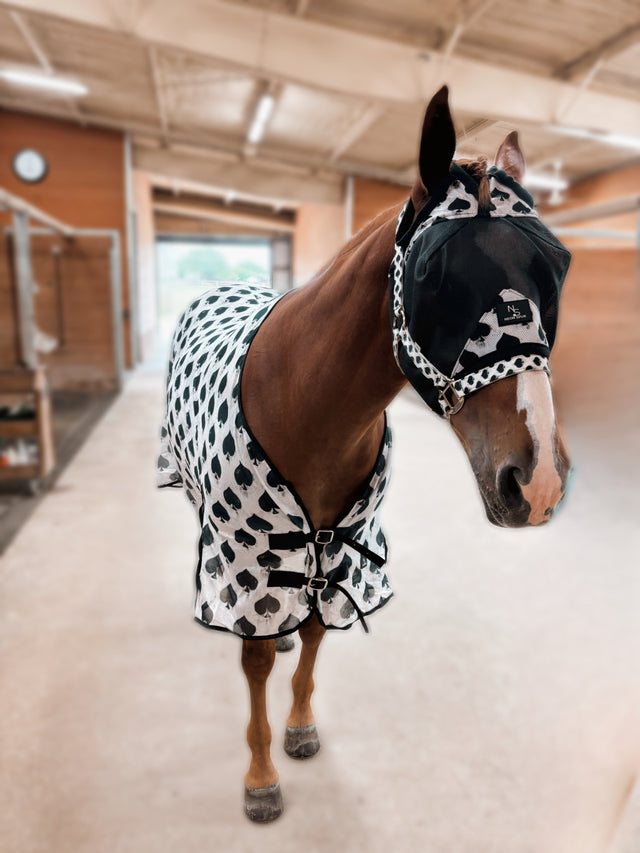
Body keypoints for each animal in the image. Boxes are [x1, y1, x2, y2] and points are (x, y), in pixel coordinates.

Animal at [157, 85, 572, 822]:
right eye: (436, 275)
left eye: (557, 268)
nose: (539, 482)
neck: (309, 404)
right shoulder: (244, 549)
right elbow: (255, 664)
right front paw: (260, 778)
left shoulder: (343, 545)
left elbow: (317, 635)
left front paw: (299, 728)